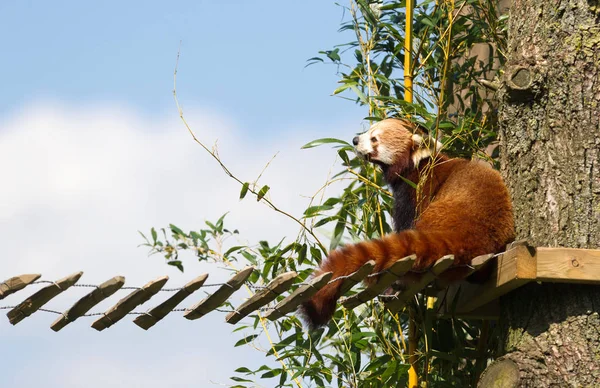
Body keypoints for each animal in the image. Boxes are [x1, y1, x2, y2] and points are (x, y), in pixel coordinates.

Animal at [300, 118, 516, 328]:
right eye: (368, 130)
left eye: (374, 139)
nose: (355, 140)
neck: (417, 165)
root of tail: (470, 233)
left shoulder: (416, 190)